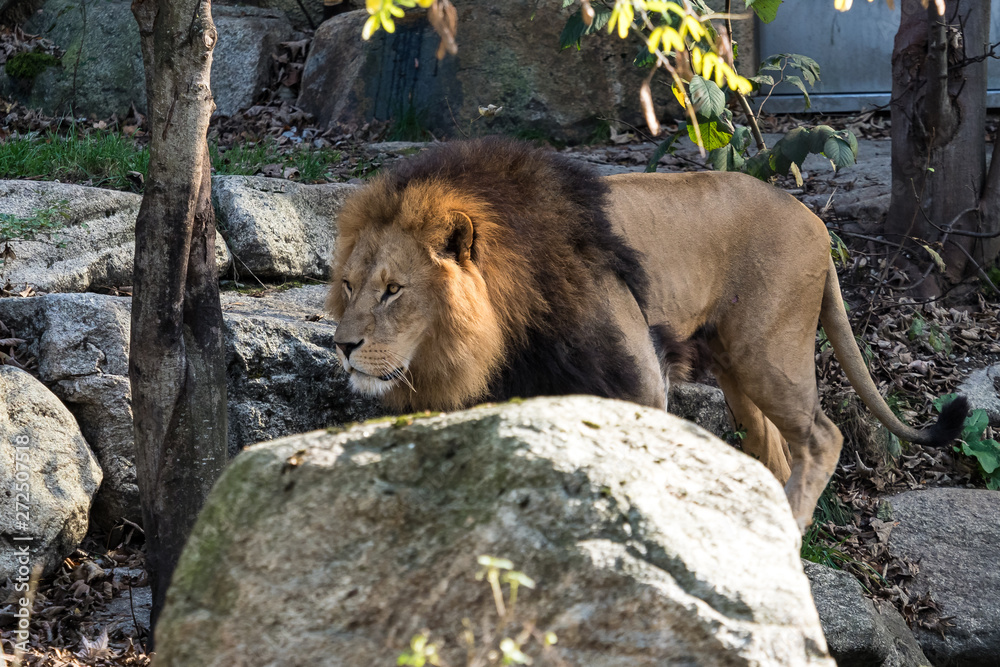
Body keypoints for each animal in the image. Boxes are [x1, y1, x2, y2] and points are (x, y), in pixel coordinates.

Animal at [327, 137, 967, 530]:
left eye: (394, 290)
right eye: (349, 285)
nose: (342, 347)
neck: (508, 324)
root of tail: (815, 221)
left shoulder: (637, 378)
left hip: (768, 352)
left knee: (822, 437)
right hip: (732, 364)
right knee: (771, 449)